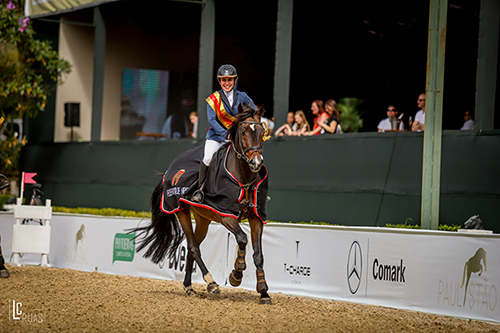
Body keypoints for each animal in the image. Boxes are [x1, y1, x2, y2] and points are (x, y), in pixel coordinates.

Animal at [131, 104, 272, 304]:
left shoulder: (256, 217)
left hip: (203, 219)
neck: (243, 177)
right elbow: (242, 239)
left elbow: (258, 255)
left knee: (193, 247)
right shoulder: (225, 215)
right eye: (243, 131)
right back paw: (211, 283)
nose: (256, 162)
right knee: (193, 247)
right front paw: (236, 275)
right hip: (181, 211)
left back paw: (189, 286)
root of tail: (170, 169)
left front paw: (264, 292)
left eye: (262, 132)